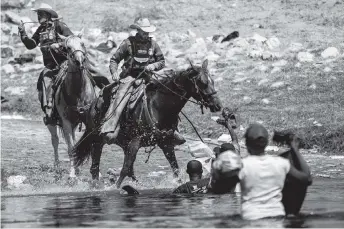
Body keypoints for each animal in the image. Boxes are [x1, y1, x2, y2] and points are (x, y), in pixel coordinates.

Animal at [47, 33, 96, 177]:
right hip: (51, 122)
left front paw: (96, 174)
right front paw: (72, 174)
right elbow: (70, 148)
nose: (79, 61)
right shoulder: (66, 122)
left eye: (83, 44)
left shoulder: (89, 121)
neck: (78, 92)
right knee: (55, 140)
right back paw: (57, 166)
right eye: (67, 48)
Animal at [73, 59, 223, 188]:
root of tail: (91, 107)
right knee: (95, 167)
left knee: (128, 170)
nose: (218, 105)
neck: (158, 106)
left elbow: (175, 168)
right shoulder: (136, 141)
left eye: (212, 81)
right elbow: (124, 168)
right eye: (202, 82)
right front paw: (115, 188)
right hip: (97, 140)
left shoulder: (166, 143)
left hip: (123, 143)